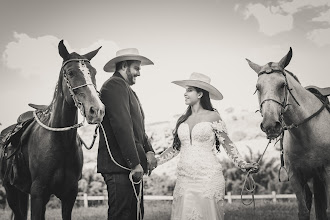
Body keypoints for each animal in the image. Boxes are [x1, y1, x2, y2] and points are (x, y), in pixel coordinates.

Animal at [1, 40, 104, 219]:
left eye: (94, 72)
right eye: (70, 72)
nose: (96, 110)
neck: (59, 142)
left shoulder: (70, 195)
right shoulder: (38, 194)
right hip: (10, 190)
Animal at [246, 48, 330, 220]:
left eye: (282, 85)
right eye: (258, 87)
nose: (270, 125)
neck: (306, 133)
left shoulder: (327, 172)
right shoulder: (296, 177)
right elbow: (303, 212)